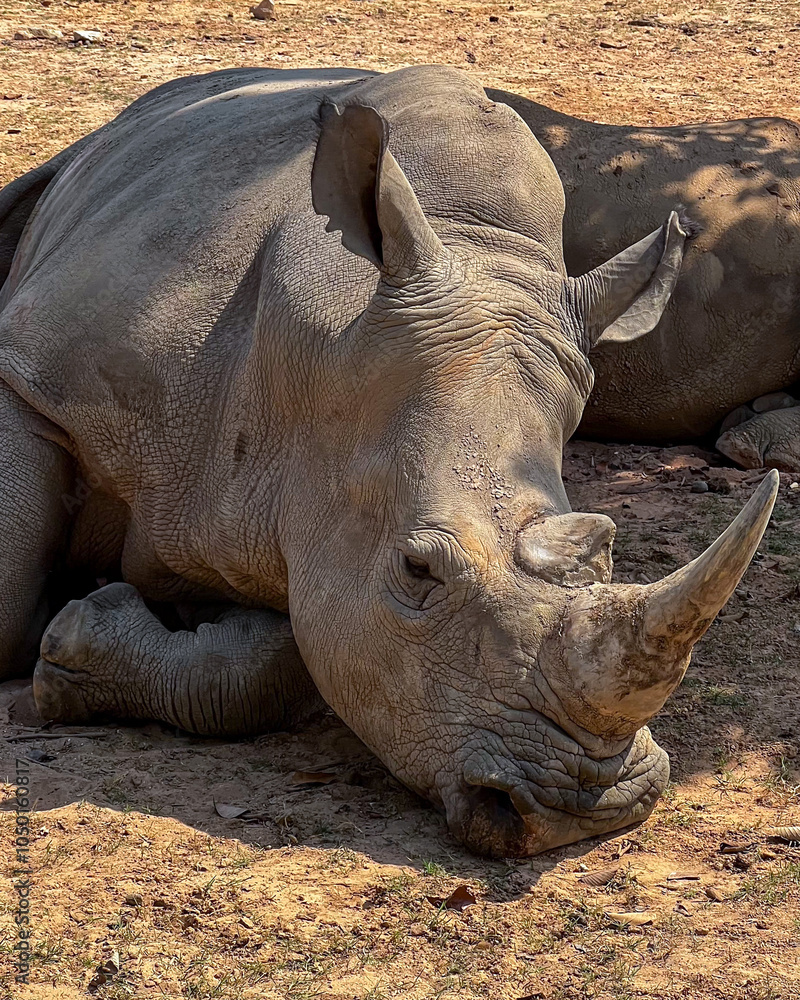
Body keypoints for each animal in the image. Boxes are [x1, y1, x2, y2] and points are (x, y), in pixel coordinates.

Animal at [0, 66, 778, 857]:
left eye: (610, 552)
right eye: (416, 568)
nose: (583, 806)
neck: (322, 348)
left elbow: (280, 661)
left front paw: (92, 633)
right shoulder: (38, 377)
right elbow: (6, 596)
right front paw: (62, 632)